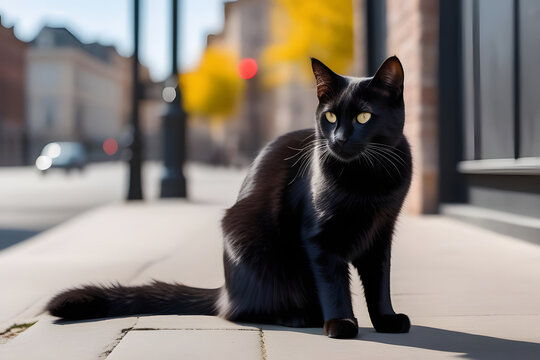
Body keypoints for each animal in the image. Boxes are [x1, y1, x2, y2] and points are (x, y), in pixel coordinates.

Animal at [47, 57, 410, 340]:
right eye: (331, 117)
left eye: (363, 117)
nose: (339, 139)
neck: (367, 179)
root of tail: (224, 290)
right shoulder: (319, 239)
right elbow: (334, 284)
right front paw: (341, 323)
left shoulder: (382, 233)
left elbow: (380, 283)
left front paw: (387, 320)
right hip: (249, 241)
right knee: (242, 311)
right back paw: (298, 316)